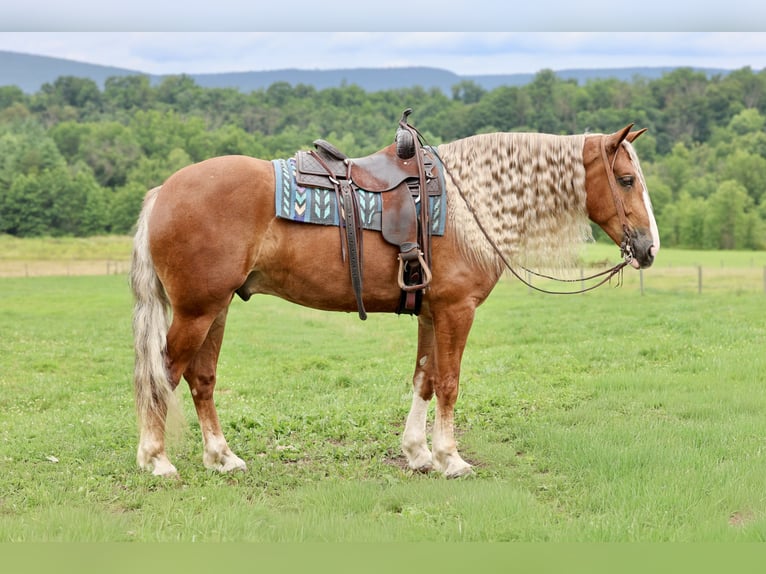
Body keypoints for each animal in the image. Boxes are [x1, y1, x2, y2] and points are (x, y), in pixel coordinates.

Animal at [130, 123, 659, 479]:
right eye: (627, 180)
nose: (649, 248)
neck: (471, 203)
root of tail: (163, 191)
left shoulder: (430, 312)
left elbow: (424, 379)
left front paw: (418, 452)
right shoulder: (456, 310)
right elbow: (449, 383)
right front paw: (451, 458)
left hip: (215, 308)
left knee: (201, 379)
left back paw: (221, 457)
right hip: (197, 311)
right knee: (165, 373)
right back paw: (156, 460)